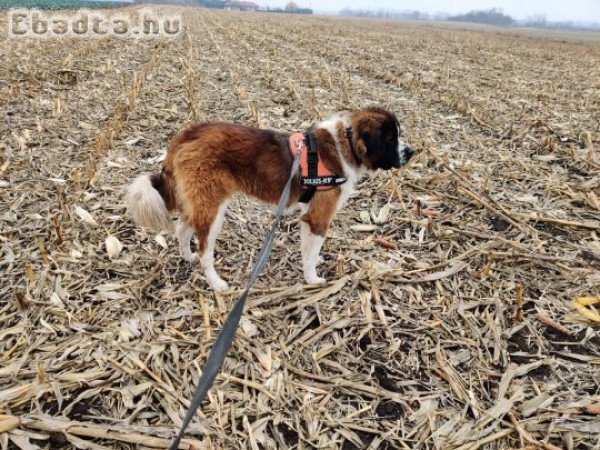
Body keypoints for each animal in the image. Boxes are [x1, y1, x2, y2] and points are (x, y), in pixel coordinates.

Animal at [126, 107, 414, 290]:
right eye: (391, 139)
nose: (412, 151)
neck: (346, 143)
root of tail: (186, 135)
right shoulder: (318, 217)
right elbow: (312, 251)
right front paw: (313, 280)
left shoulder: (308, 214)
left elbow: (308, 248)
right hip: (213, 209)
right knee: (205, 248)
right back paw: (216, 283)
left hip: (202, 203)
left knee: (183, 229)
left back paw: (188, 257)